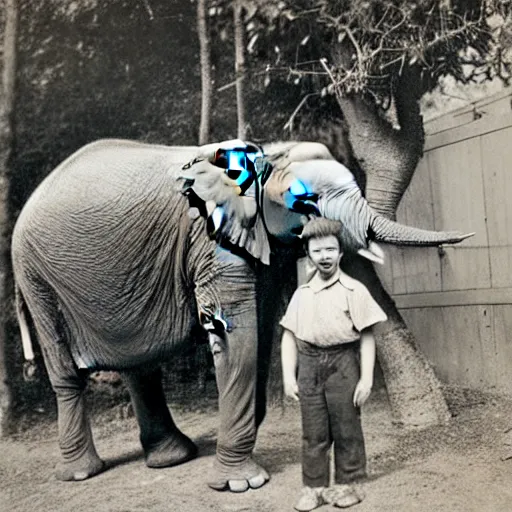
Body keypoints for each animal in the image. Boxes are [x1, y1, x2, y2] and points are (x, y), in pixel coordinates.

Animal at [12, 138, 470, 490]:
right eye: (308, 201)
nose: (466, 237)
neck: (266, 154)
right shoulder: (211, 237)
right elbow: (236, 331)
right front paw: (241, 483)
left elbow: (264, 326)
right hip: (36, 277)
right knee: (69, 371)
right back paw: (81, 474)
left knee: (138, 365)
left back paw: (172, 458)